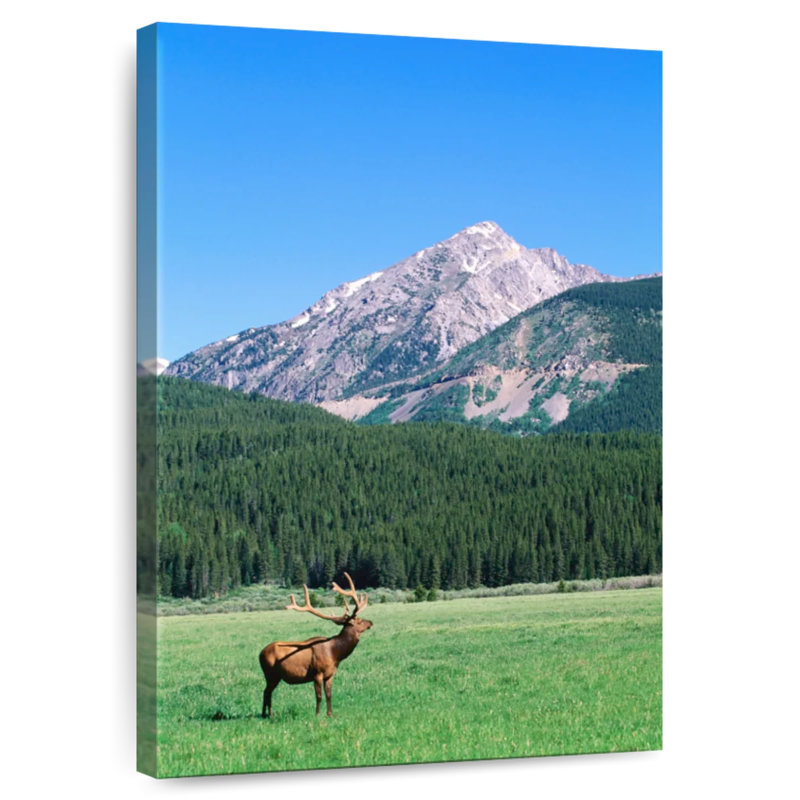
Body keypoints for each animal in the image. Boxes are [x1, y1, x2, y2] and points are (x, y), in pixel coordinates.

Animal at [258, 573, 372, 718]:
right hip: (270, 674)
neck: (335, 654)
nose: (370, 622)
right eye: (359, 620)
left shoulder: (330, 674)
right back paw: (267, 714)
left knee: (267, 692)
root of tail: (260, 653)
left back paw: (266, 713)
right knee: (266, 692)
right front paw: (317, 714)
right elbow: (318, 696)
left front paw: (330, 714)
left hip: (275, 676)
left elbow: (329, 695)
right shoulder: (317, 673)